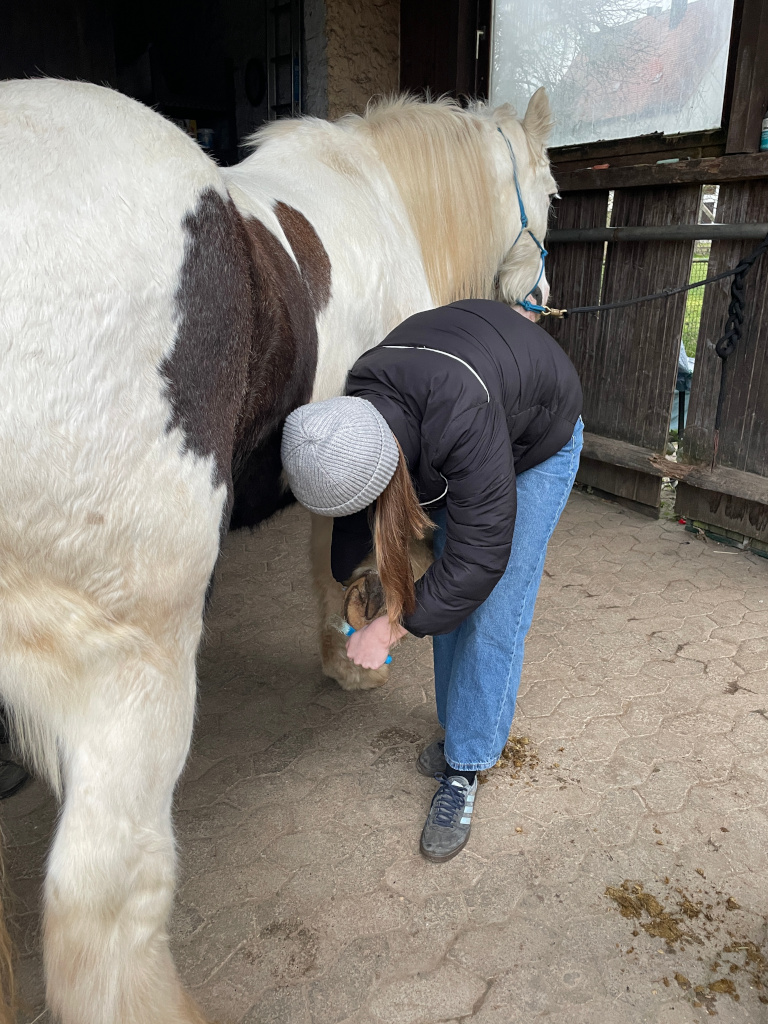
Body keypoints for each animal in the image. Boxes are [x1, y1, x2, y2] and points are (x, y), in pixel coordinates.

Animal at [0, 79, 552, 1024]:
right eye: (550, 191)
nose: (543, 298)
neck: (384, 194)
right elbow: (348, 557)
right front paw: (354, 658)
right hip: (131, 668)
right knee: (103, 906)